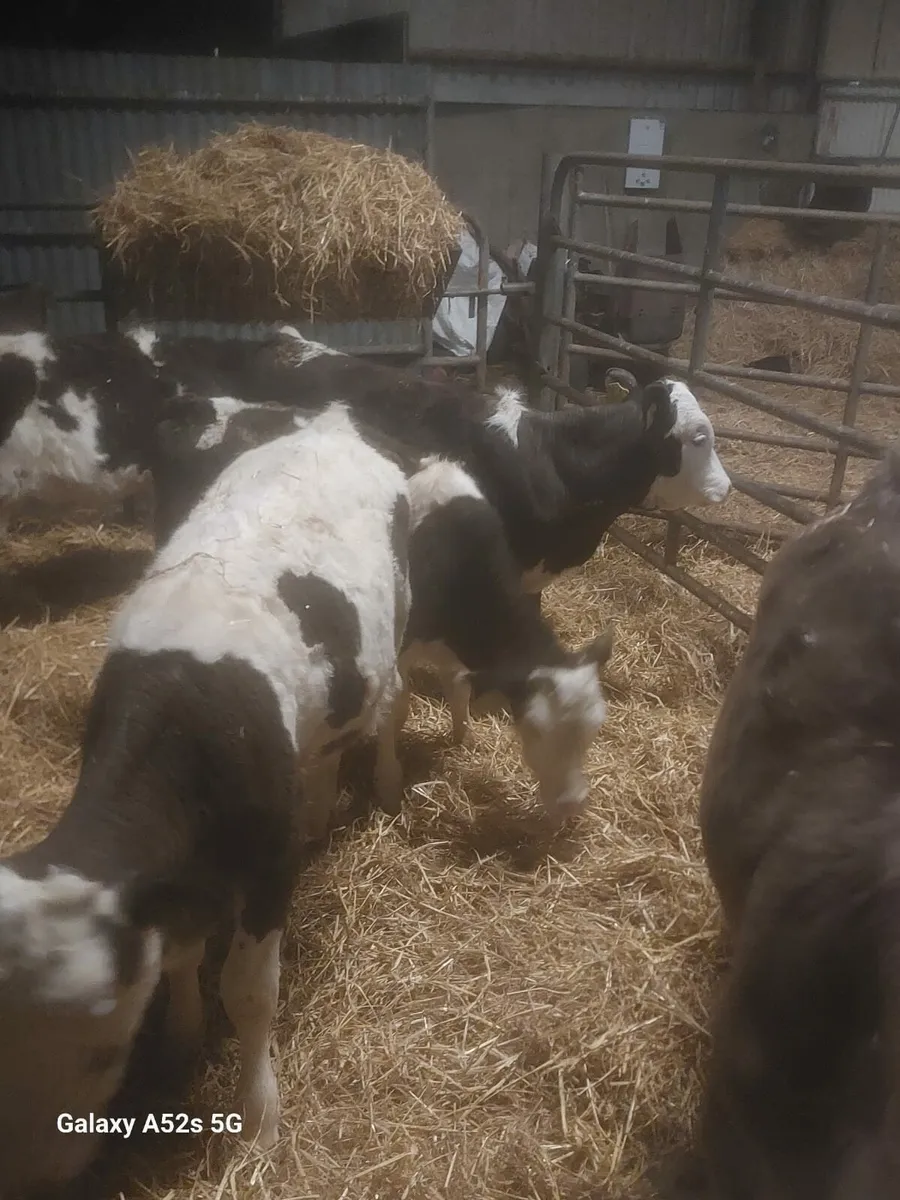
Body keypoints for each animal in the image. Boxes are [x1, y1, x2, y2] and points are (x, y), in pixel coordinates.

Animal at [0, 402, 411, 1193]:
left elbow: (248, 993)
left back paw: (384, 781)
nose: (30, 1178)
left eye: (104, 1048)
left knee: (392, 701)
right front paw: (182, 1039)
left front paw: (260, 1121)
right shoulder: (175, 876)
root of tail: (332, 420)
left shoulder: (269, 866)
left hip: (399, 618)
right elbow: (182, 954)